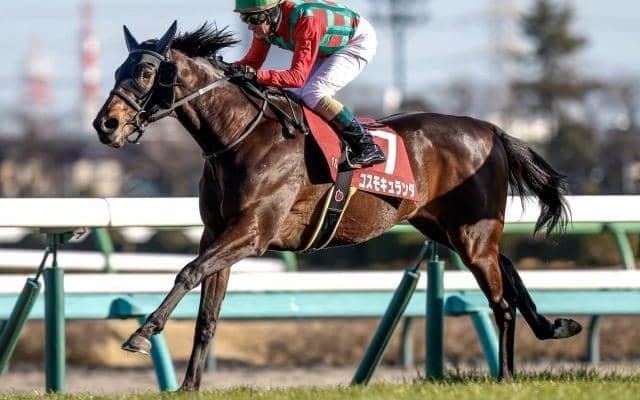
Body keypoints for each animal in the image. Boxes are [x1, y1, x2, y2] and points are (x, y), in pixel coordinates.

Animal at [92, 22, 582, 390]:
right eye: (118, 68)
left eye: (145, 73)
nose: (105, 124)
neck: (239, 137)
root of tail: (491, 130)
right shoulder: (218, 233)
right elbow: (207, 313)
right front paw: (189, 385)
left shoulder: (253, 232)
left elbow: (187, 272)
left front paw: (141, 333)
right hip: (446, 228)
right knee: (510, 274)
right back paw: (549, 330)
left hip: (471, 234)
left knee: (501, 302)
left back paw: (507, 376)